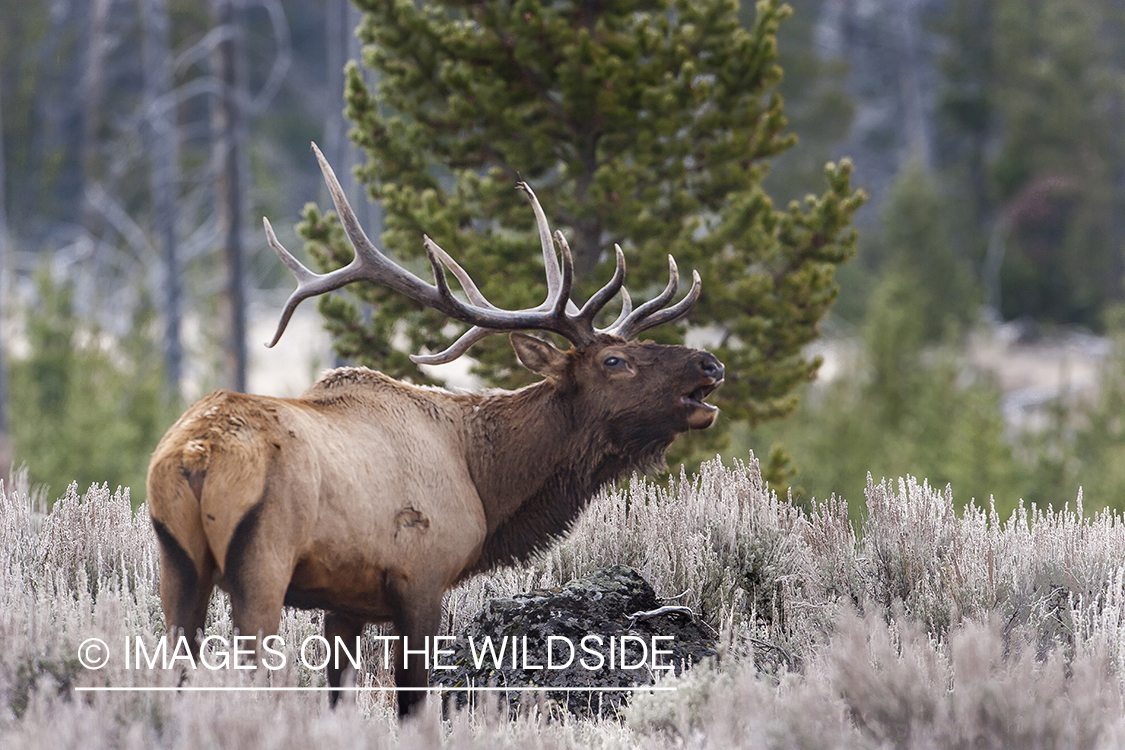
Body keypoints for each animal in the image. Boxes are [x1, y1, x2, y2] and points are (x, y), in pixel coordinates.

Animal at [147, 145, 720, 715]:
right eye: (614, 361)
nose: (709, 363)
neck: (485, 482)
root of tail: (196, 456)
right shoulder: (420, 577)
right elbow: (415, 702)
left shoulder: (345, 602)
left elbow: (338, 697)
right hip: (262, 562)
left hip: (177, 565)